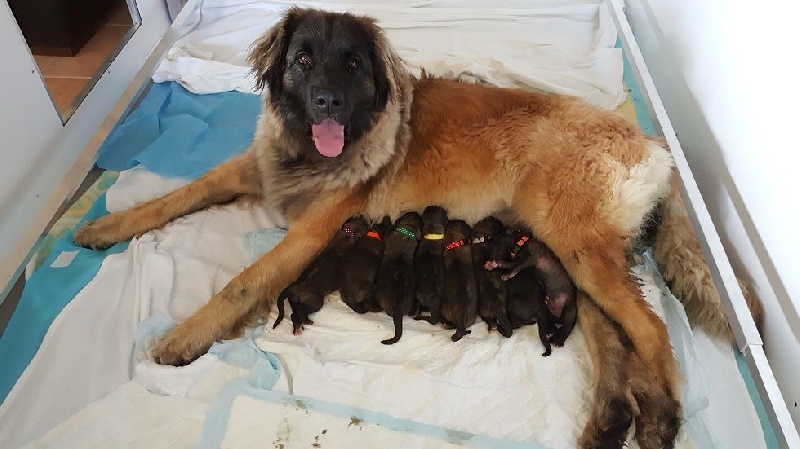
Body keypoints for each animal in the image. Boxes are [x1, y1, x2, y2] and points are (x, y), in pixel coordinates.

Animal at [376, 212, 424, 344]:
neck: (408, 231)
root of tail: (398, 306)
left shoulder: (388, 236)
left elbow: (387, 229)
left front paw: (386, 219)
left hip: (382, 299)